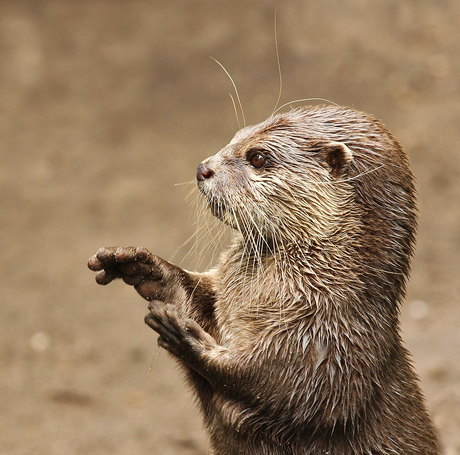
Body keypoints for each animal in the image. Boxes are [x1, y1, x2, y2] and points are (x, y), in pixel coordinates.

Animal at [89, 105, 438, 454]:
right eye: (235, 137)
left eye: (257, 158)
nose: (203, 168)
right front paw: (140, 266)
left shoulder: (333, 348)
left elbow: (280, 385)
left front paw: (183, 336)